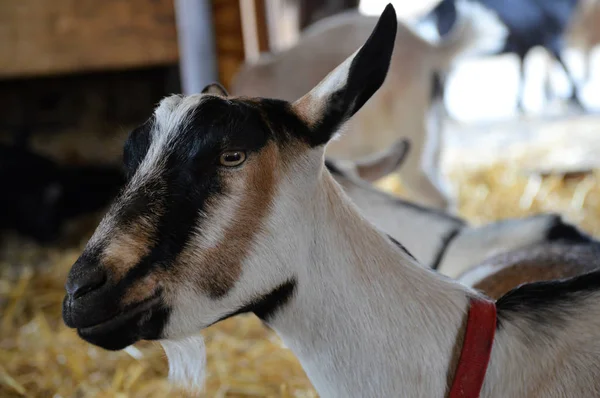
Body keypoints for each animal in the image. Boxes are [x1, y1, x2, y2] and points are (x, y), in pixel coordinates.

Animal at [424, 0, 584, 111]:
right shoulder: (553, 40)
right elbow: (566, 68)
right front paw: (577, 99)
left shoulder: (524, 47)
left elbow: (522, 73)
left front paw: (519, 104)